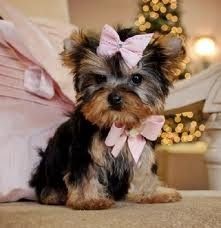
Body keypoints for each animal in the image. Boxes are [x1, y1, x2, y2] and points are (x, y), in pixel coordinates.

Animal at [29, 24, 185, 209]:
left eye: (137, 78)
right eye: (99, 78)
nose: (114, 97)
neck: (117, 124)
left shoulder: (140, 146)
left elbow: (145, 168)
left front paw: (152, 193)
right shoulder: (85, 150)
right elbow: (85, 173)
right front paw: (89, 199)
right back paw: (53, 195)